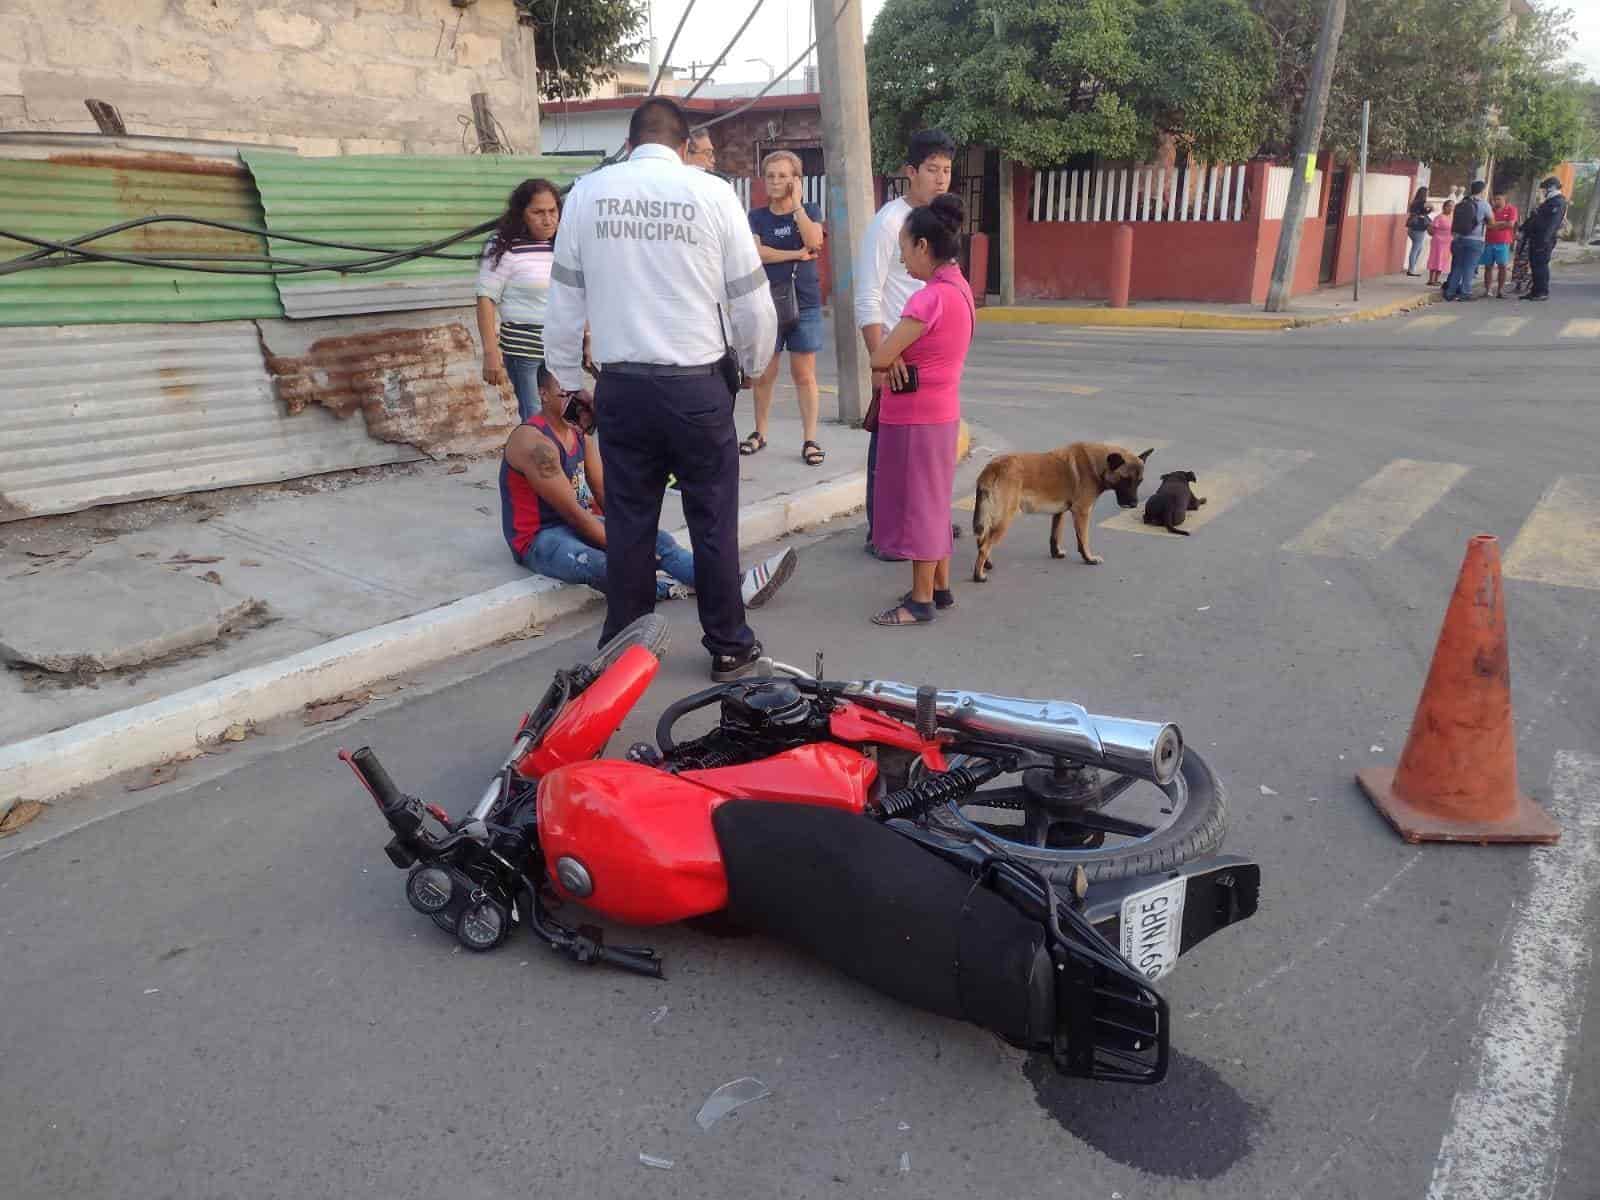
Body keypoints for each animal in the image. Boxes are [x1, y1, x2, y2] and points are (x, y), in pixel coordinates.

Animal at [972, 448, 1152, 585]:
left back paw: (987, 564)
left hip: (990, 519)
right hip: (1004, 520)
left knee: (981, 540)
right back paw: (978, 576)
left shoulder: (1060, 513)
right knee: (984, 546)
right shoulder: (1082, 512)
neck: (1097, 464)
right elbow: (1083, 540)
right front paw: (1089, 558)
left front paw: (1056, 553)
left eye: (1139, 481)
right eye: (1125, 479)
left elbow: (1055, 536)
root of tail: (993, 468)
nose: (1134, 504)